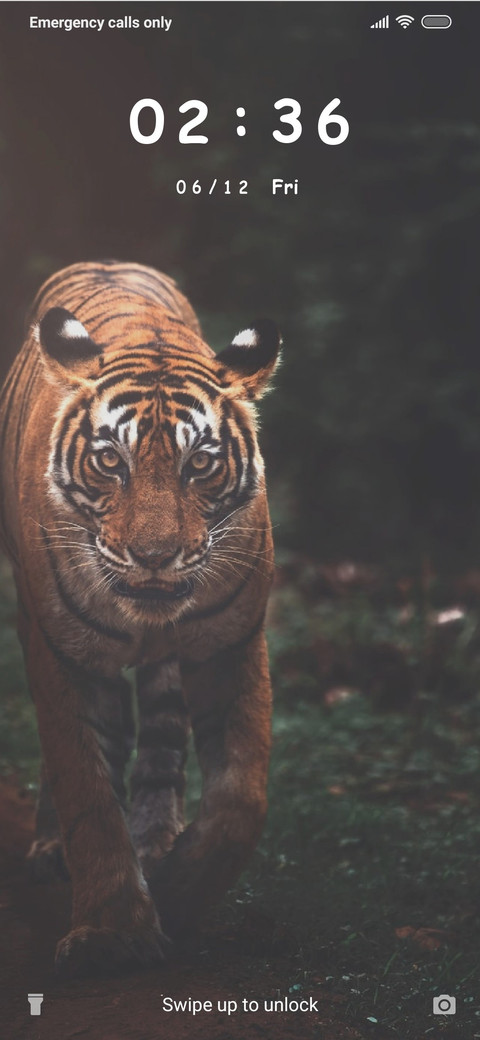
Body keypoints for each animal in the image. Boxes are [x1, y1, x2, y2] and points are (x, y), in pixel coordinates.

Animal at [0, 260, 279, 977]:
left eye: (200, 464)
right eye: (109, 461)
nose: (154, 557)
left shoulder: (230, 643)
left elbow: (240, 798)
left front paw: (178, 893)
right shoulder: (61, 652)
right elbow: (86, 786)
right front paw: (112, 934)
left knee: (158, 736)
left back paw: (156, 843)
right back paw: (54, 852)